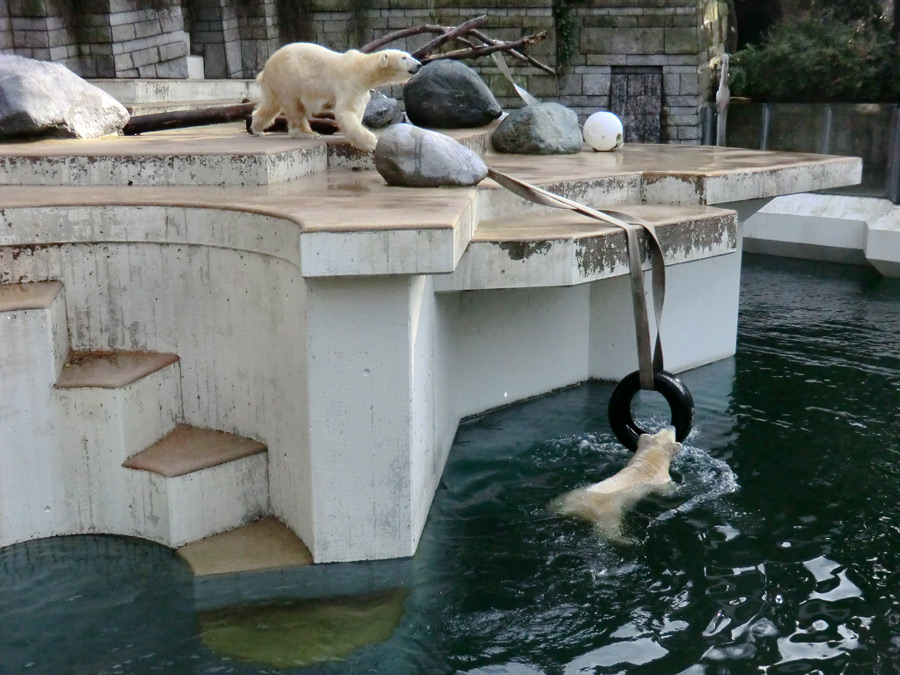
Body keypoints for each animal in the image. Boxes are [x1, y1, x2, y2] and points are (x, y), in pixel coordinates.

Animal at [250, 43, 422, 152]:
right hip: (288, 78)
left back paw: (257, 129)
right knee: (294, 107)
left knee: (271, 105)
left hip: (276, 83)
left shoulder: (361, 90)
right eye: (404, 58)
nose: (419, 64)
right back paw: (307, 133)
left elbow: (358, 111)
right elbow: (345, 111)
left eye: (409, 55)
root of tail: (266, 67)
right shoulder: (349, 84)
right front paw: (371, 142)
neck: (361, 69)